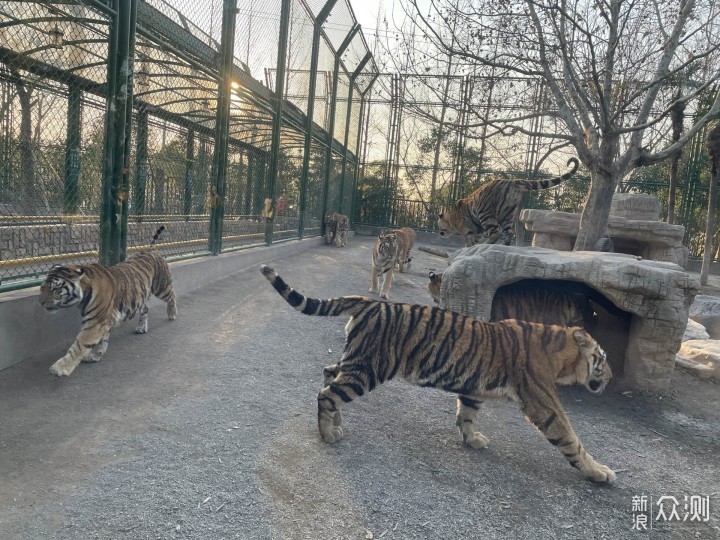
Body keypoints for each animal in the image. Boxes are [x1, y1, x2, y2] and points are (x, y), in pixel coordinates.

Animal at [38, 226, 177, 378]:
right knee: (146, 308)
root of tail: (150, 249)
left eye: (55, 289)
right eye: (42, 287)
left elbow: (78, 346)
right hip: (138, 298)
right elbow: (102, 342)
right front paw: (96, 356)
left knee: (172, 295)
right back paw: (141, 328)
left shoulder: (95, 323)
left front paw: (60, 368)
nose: (41, 302)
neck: (83, 295)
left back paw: (172, 313)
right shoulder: (103, 321)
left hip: (161, 286)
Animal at [436, 156, 584, 247]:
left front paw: (468, 247)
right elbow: (474, 239)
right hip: (507, 214)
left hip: (485, 213)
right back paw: (502, 245)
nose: (440, 233)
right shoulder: (476, 230)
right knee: (509, 233)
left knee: (497, 232)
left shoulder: (467, 228)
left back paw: (487, 244)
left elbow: (469, 239)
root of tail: (513, 181)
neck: (451, 218)